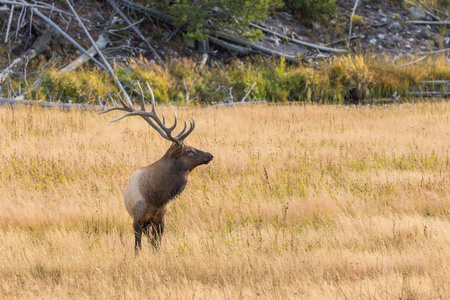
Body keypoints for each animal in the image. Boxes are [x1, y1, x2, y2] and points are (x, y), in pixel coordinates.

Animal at [101, 82, 214, 251]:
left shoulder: (160, 220)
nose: (210, 155)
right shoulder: (137, 220)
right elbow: (137, 248)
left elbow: (157, 247)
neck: (155, 199)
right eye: (189, 150)